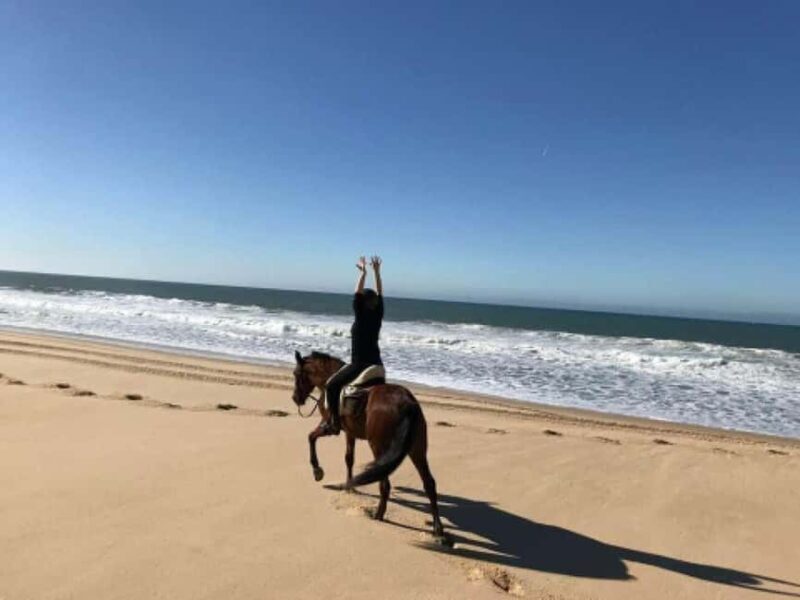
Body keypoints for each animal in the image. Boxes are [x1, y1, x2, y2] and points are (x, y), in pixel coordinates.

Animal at [291, 350, 444, 539]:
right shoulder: (350, 433)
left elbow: (311, 438)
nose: (295, 398)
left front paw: (317, 471)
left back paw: (378, 514)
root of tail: (407, 403)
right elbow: (349, 458)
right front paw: (349, 486)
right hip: (417, 449)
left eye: (296, 374)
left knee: (385, 483)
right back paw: (438, 528)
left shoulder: (329, 426)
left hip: (379, 447)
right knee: (429, 483)